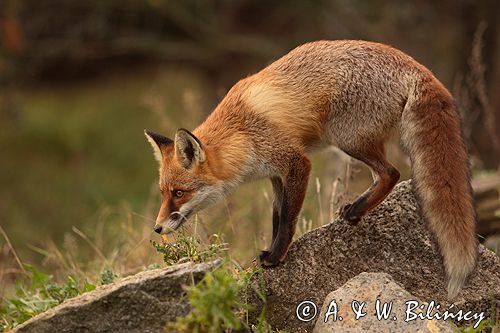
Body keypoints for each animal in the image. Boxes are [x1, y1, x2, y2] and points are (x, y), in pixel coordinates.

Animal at [144, 39, 476, 298]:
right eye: (163, 193)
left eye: (179, 193)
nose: (157, 228)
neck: (242, 132)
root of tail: (415, 65)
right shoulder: (276, 175)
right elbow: (277, 217)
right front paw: (272, 251)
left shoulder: (296, 162)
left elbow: (289, 219)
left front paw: (276, 256)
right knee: (386, 174)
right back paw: (357, 208)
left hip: (346, 138)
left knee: (391, 173)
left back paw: (356, 209)